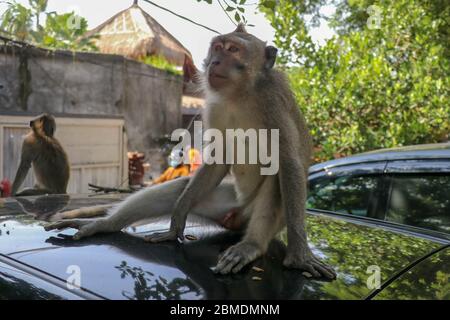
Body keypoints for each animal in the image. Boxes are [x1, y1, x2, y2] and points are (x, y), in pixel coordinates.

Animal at [46, 25, 334, 280]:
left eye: (233, 49)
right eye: (218, 47)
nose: (215, 62)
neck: (239, 95)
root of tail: (237, 220)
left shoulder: (273, 103)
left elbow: (288, 163)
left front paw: (299, 255)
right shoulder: (215, 107)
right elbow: (218, 160)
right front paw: (177, 220)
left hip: (265, 216)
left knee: (276, 181)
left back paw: (251, 246)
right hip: (224, 204)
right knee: (179, 188)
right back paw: (108, 225)